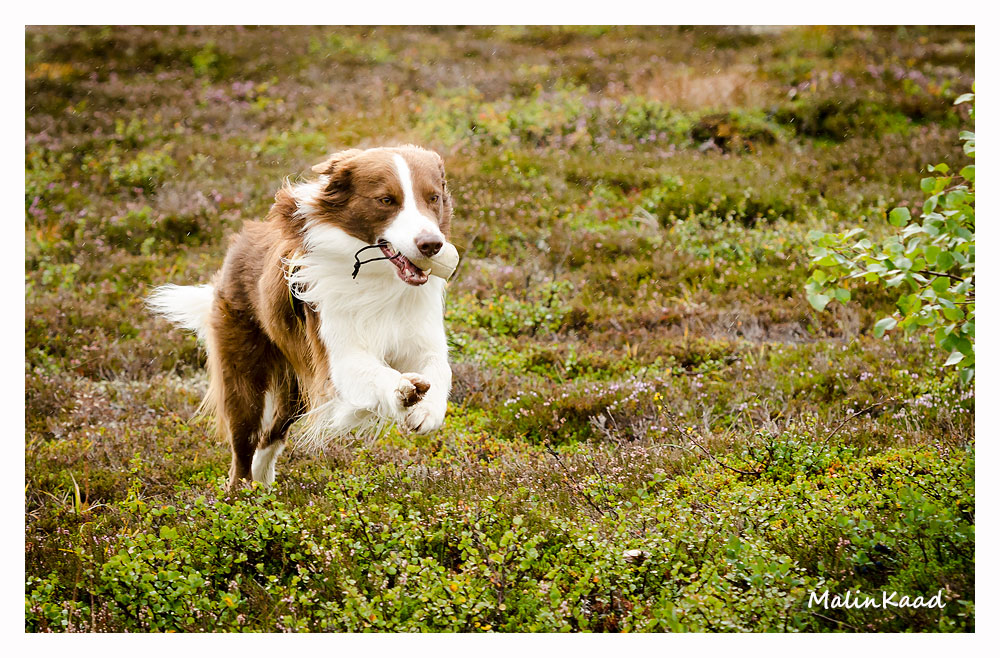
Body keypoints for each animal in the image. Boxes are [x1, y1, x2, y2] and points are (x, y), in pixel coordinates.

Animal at [147, 145, 455, 489]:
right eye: (386, 200)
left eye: (433, 198)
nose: (431, 244)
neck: (382, 282)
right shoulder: (339, 358)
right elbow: (377, 373)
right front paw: (402, 390)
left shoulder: (421, 337)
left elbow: (440, 370)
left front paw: (427, 411)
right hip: (244, 376)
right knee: (244, 445)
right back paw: (241, 493)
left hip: (297, 388)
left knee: (272, 434)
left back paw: (264, 485)